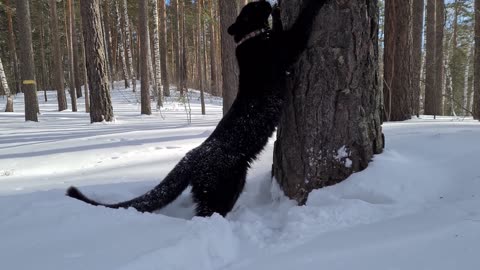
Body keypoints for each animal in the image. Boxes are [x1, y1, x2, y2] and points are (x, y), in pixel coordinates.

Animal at [66, 0, 326, 216]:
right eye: (253, 5)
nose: (266, 1)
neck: (251, 39)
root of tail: (191, 155)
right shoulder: (288, 47)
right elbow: (303, 19)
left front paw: (279, 12)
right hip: (222, 187)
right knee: (206, 213)